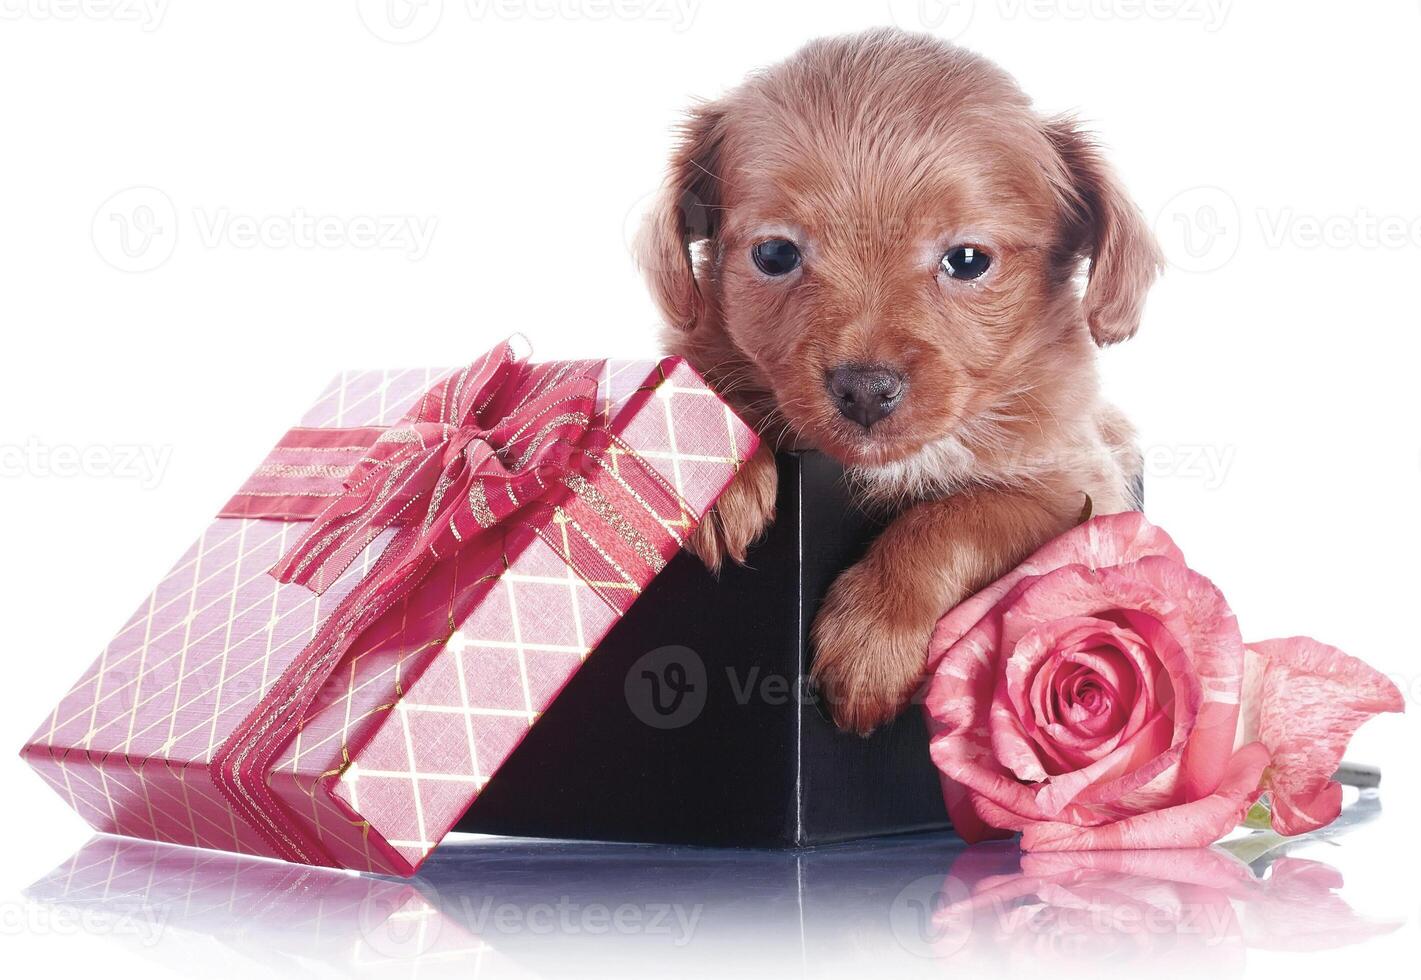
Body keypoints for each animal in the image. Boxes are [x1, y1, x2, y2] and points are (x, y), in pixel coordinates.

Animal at [639, 28, 1159, 732]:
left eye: (967, 260)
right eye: (775, 254)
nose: (864, 389)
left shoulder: (1081, 493)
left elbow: (961, 513)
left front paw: (873, 637)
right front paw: (719, 472)